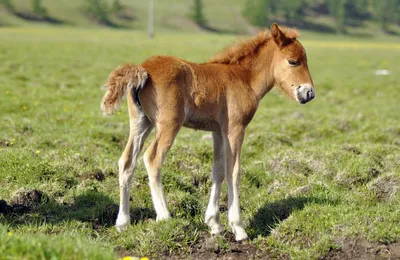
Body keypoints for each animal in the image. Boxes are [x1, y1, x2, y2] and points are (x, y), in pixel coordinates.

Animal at [101, 23, 316, 241]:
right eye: (293, 61)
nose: (309, 93)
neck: (244, 77)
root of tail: (144, 69)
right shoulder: (235, 129)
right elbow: (234, 171)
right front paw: (238, 228)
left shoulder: (218, 131)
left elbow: (218, 171)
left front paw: (214, 223)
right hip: (168, 124)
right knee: (152, 159)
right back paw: (164, 216)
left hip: (141, 123)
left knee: (127, 161)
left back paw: (123, 222)